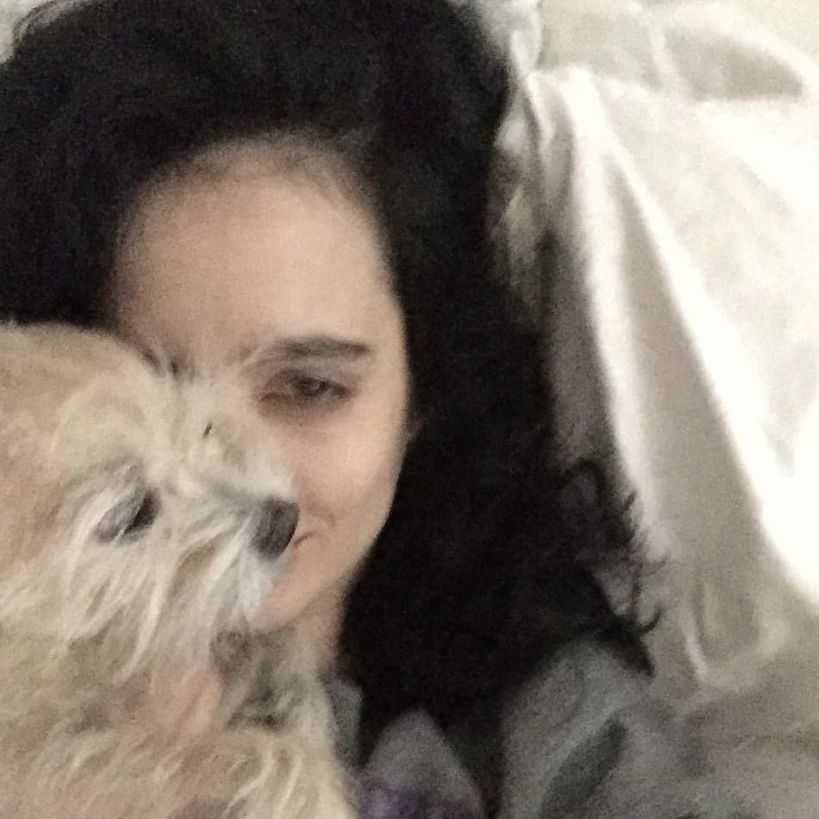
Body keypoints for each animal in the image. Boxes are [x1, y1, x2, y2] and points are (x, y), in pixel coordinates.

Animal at [0, 324, 354, 819]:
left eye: (199, 430)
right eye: (131, 515)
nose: (285, 521)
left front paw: (292, 688)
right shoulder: (34, 772)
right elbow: (158, 760)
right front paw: (313, 796)